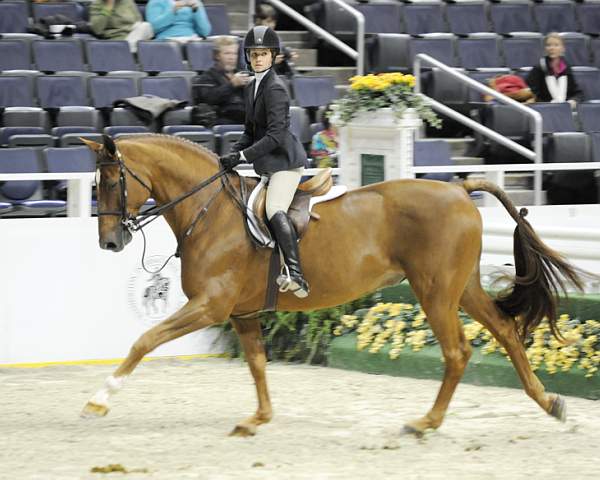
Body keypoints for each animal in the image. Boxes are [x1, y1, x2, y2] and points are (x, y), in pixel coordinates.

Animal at [81, 133, 580, 436]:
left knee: (458, 351)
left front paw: (99, 401)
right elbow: (257, 364)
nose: (109, 241)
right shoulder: (241, 313)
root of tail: (458, 189)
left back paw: (426, 422)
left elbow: (145, 340)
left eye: (112, 181)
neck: (210, 211)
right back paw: (548, 402)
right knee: (506, 330)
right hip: (462, 288)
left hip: (436, 292)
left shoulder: (211, 306)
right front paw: (258, 418)